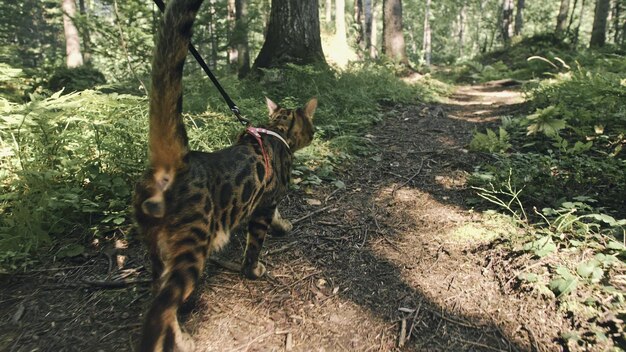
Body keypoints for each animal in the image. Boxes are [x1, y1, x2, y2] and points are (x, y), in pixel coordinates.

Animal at [132, 1, 316, 350]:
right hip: (192, 245)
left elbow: (276, 217)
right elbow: (255, 242)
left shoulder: (265, 200)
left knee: (159, 295)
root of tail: (176, 164)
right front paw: (253, 269)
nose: (315, 133)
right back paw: (174, 341)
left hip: (156, 247)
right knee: (159, 308)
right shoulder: (266, 201)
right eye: (311, 126)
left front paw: (283, 225)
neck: (274, 131)